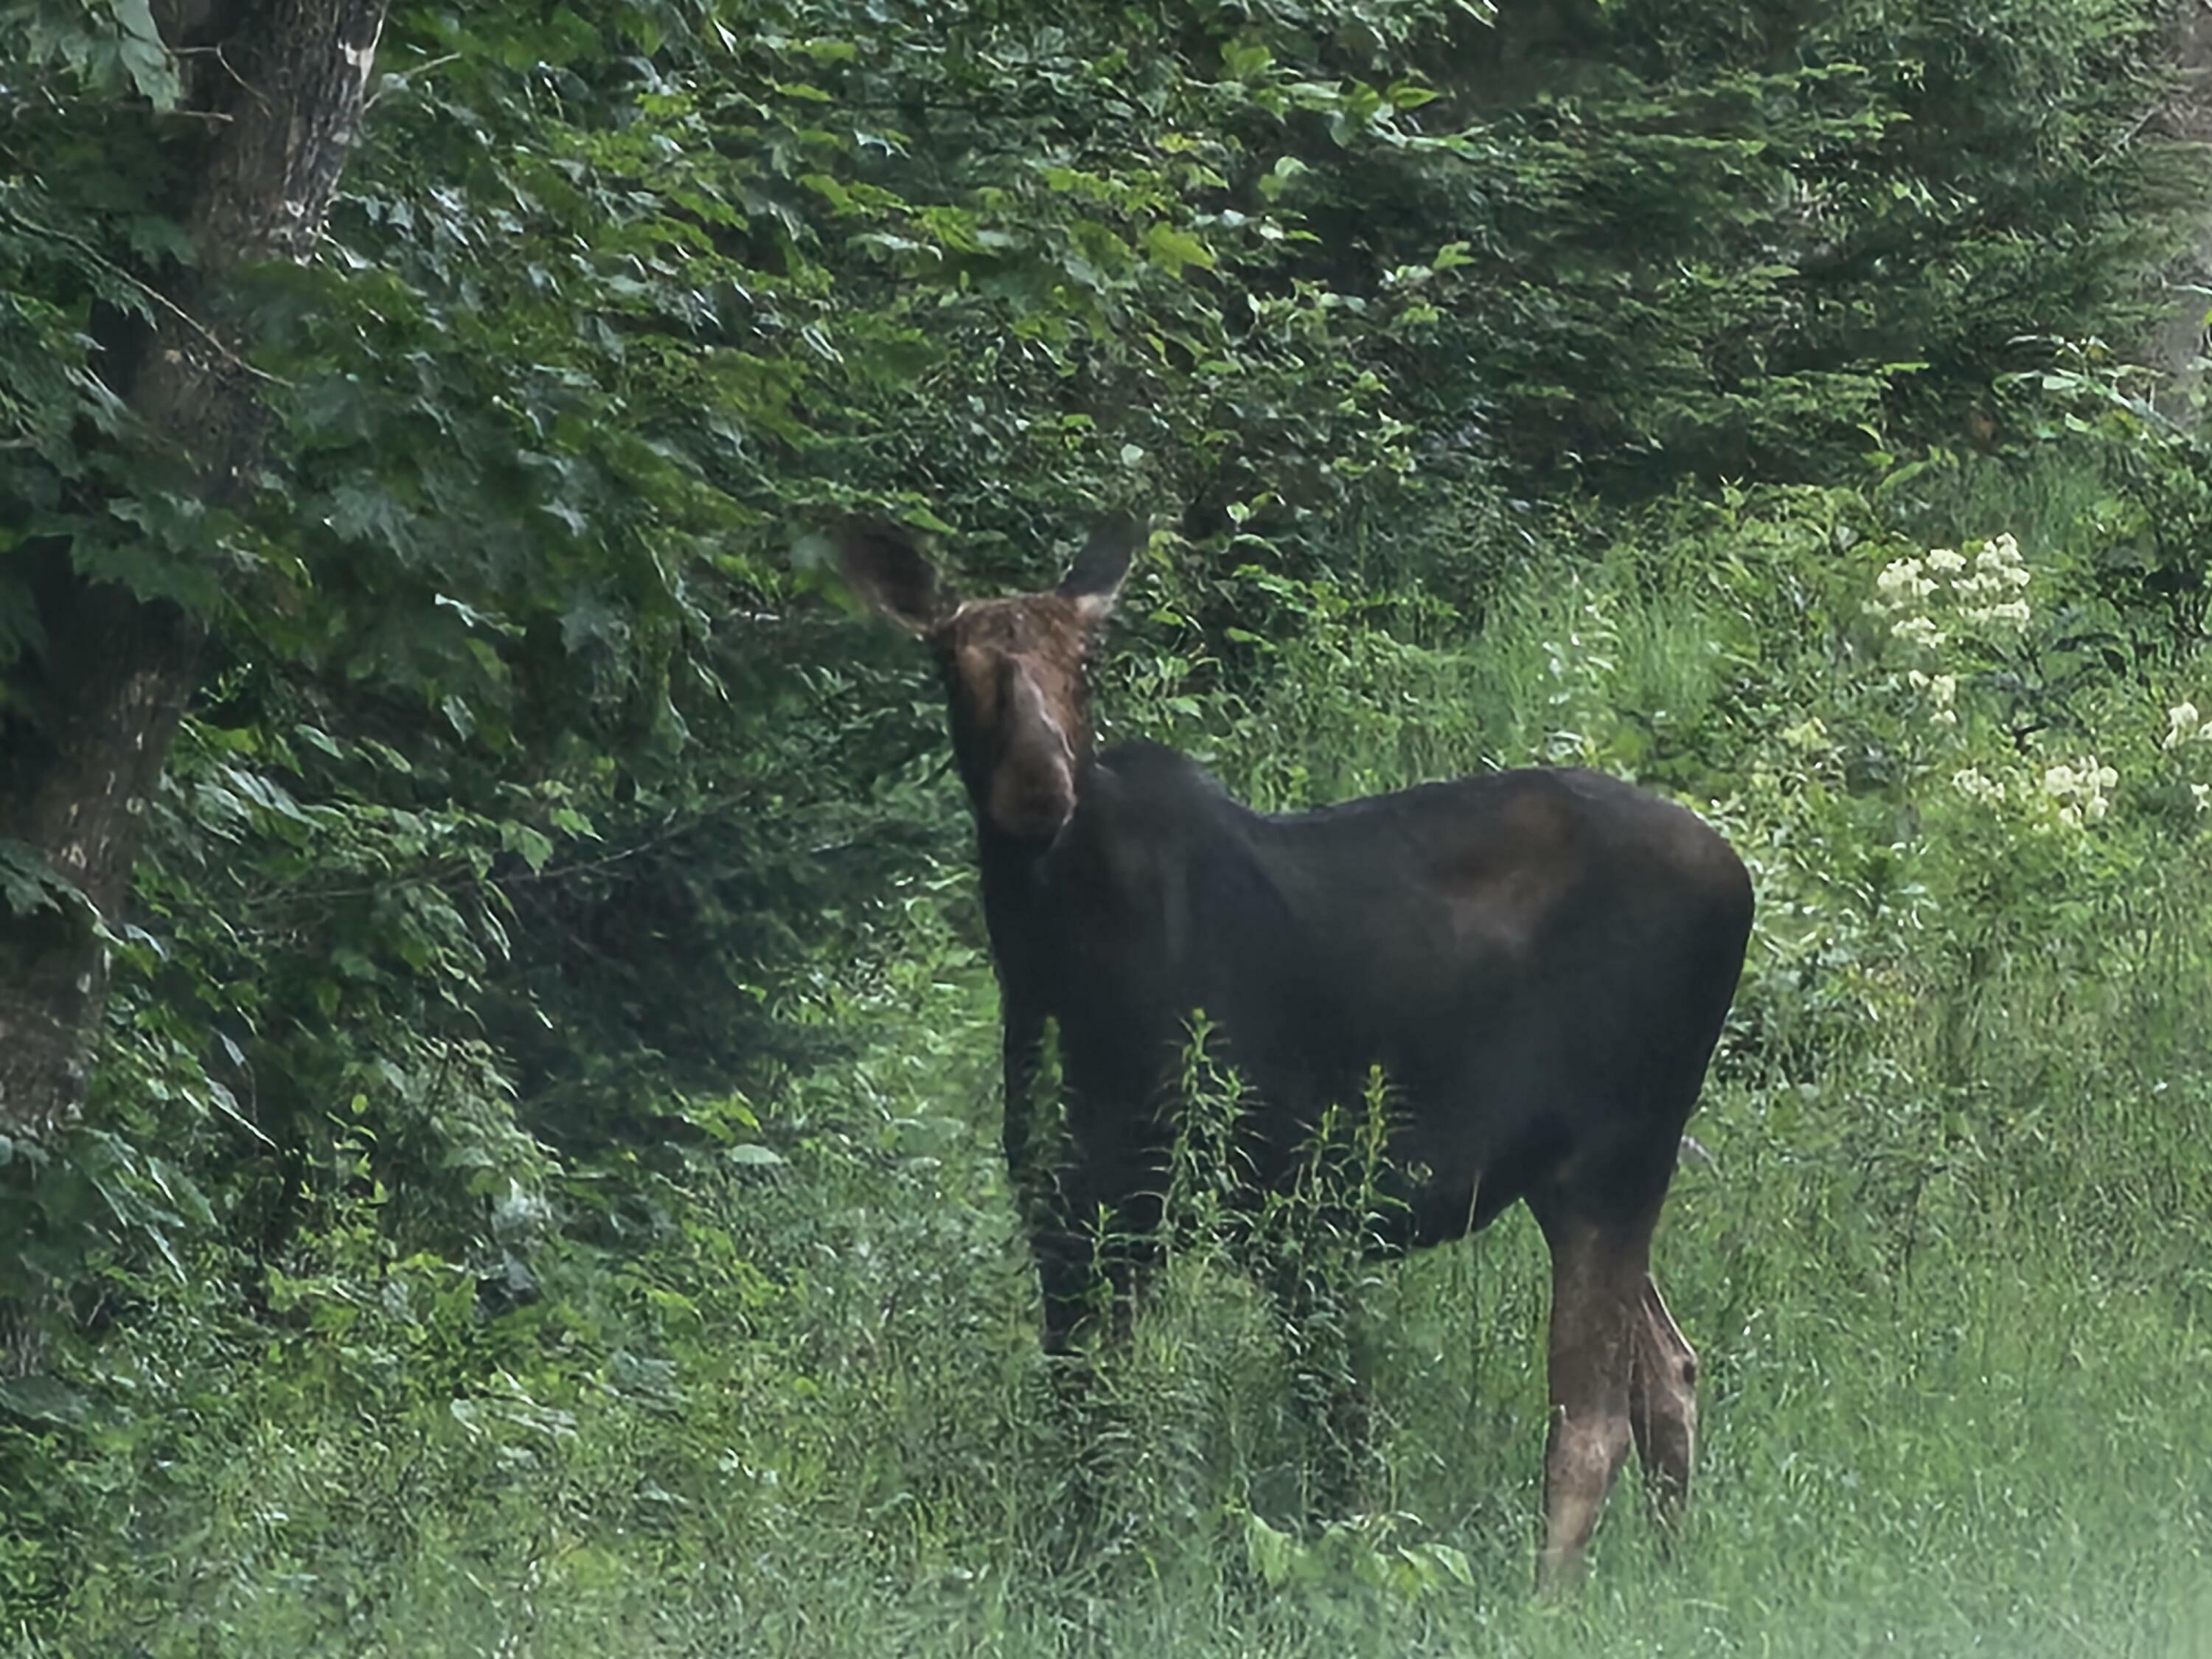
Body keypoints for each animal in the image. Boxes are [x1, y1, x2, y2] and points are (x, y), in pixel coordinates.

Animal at [836, 513, 1752, 1593]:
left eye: (1088, 658)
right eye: (951, 660)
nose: (1036, 782)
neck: (1059, 965)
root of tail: (1742, 880)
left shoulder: (1297, 1205)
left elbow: (1336, 1442)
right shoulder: (1073, 1218)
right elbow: (1091, 1432)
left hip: (1614, 1153)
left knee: (1593, 1416)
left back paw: (1548, 1601)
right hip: (1571, 1172)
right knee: (1672, 1369)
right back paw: (1668, 1571)